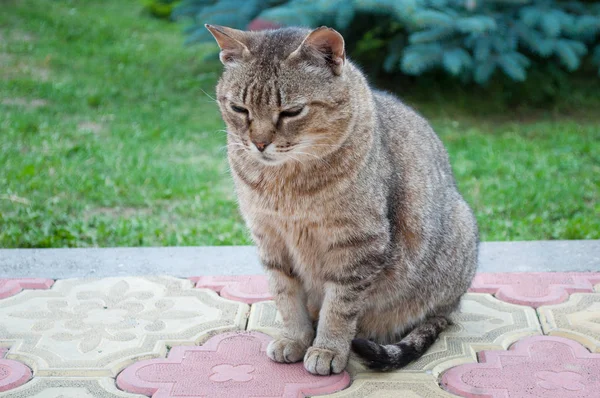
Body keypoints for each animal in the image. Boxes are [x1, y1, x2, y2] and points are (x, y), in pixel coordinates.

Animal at [206, 24, 478, 374]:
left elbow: (339, 307)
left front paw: (327, 349)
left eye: (292, 112)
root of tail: (454, 304)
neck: (286, 182)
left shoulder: (358, 245)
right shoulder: (270, 239)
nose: (259, 143)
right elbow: (286, 296)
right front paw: (295, 338)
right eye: (239, 109)